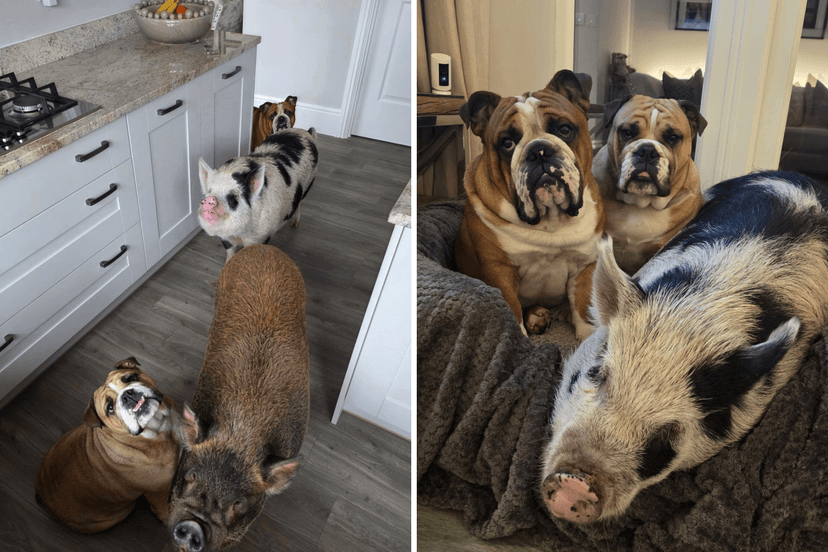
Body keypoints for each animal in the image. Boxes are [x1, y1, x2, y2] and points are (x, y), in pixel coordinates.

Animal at [198, 127, 318, 262]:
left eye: (233, 197)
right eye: (209, 191)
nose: (210, 198)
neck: (240, 234)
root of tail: (304, 131)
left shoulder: (264, 235)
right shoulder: (225, 237)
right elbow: (229, 251)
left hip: (310, 182)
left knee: (299, 203)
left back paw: (295, 225)